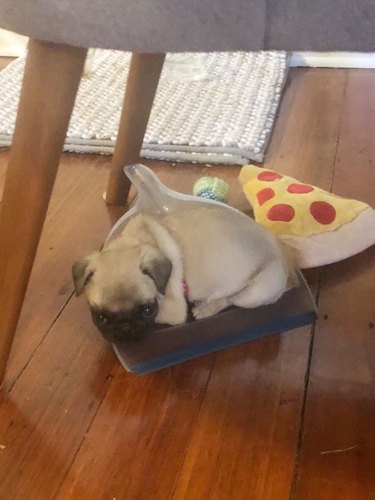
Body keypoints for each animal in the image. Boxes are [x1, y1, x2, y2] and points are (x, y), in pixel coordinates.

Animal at [72, 205, 298, 342]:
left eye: (147, 310)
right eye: (100, 316)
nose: (124, 327)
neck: (140, 240)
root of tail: (285, 258)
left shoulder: (172, 310)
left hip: (255, 293)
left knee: (230, 299)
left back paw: (205, 308)